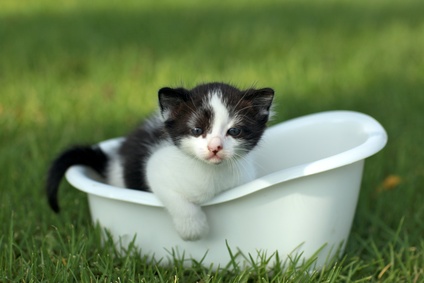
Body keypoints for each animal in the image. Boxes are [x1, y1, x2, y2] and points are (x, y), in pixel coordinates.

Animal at [45, 82, 272, 242]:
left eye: (234, 131)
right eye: (197, 130)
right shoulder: (157, 166)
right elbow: (176, 198)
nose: (214, 147)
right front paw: (193, 229)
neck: (212, 173)